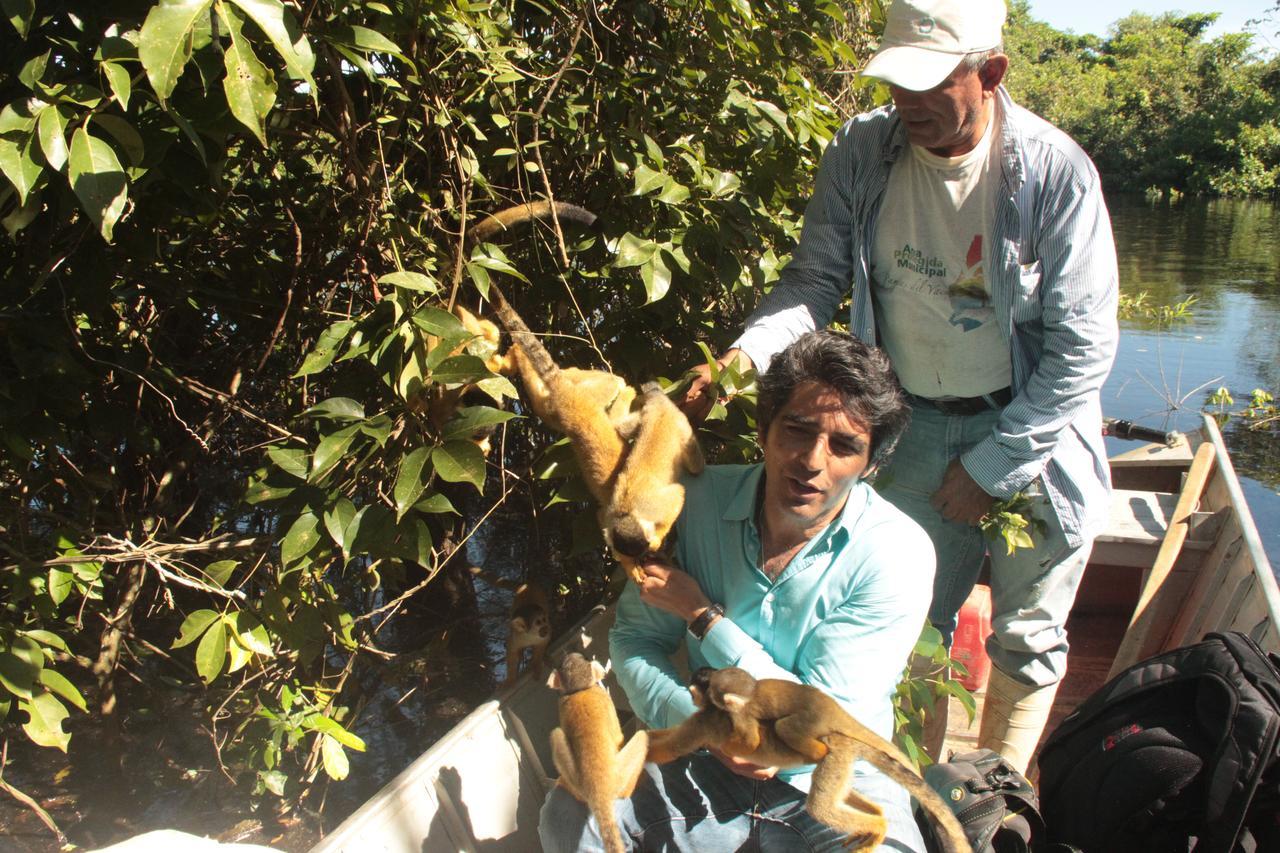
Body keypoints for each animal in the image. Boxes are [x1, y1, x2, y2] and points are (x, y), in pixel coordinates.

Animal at [547, 650, 650, 850]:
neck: (579, 690)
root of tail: (598, 792)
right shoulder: (604, 698)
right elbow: (618, 737)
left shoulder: (561, 704)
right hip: (619, 776)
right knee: (642, 738)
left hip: (577, 781)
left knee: (556, 735)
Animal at [650, 666, 967, 850]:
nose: (691, 694)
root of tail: (840, 730)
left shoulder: (711, 719)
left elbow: (676, 747)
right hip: (842, 760)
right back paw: (877, 817)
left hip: (828, 748)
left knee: (820, 803)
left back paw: (876, 825)